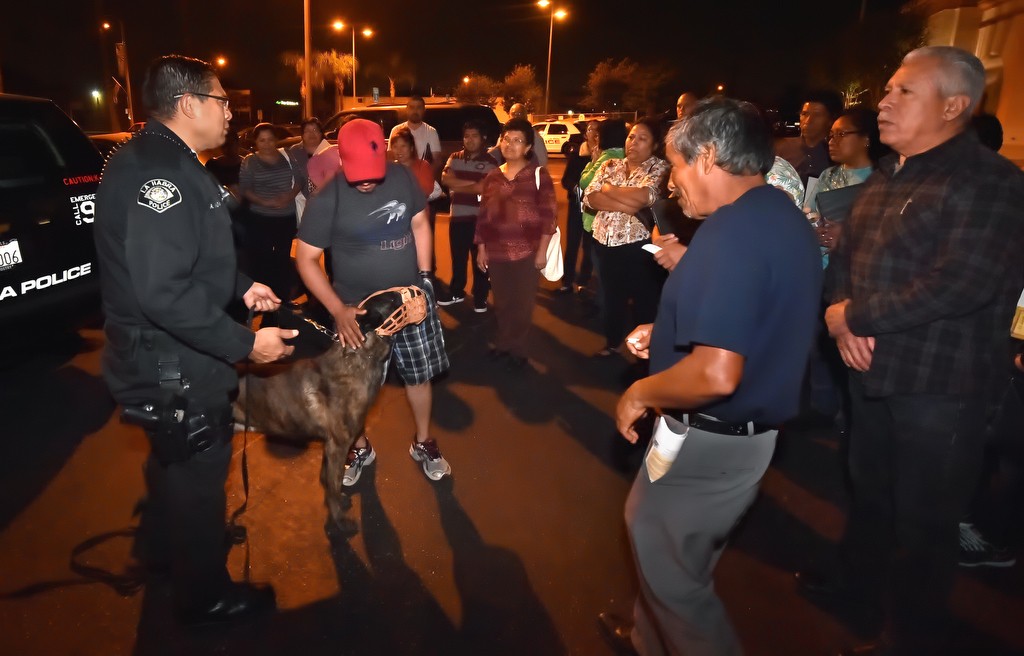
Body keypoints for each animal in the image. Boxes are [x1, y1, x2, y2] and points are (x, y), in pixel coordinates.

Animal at [235, 284, 428, 532]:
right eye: (395, 298)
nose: (421, 289)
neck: (359, 356)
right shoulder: (338, 445)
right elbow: (334, 486)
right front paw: (339, 521)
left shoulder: (330, 446)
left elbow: (327, 480)